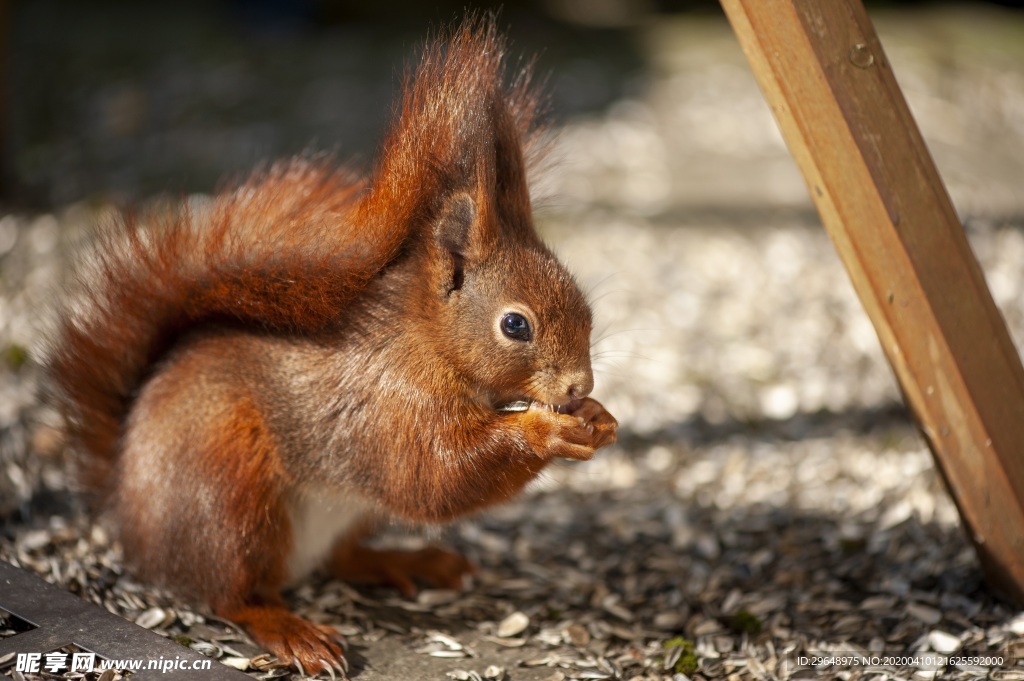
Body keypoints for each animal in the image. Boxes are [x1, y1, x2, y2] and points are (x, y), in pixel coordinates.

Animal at [49, 15, 614, 675]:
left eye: (585, 307)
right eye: (516, 326)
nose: (579, 385)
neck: (429, 344)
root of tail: (129, 511)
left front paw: (597, 418)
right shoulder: (390, 405)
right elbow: (434, 475)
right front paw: (548, 429)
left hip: (343, 512)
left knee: (338, 561)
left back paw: (404, 560)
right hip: (226, 492)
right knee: (232, 593)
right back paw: (293, 631)